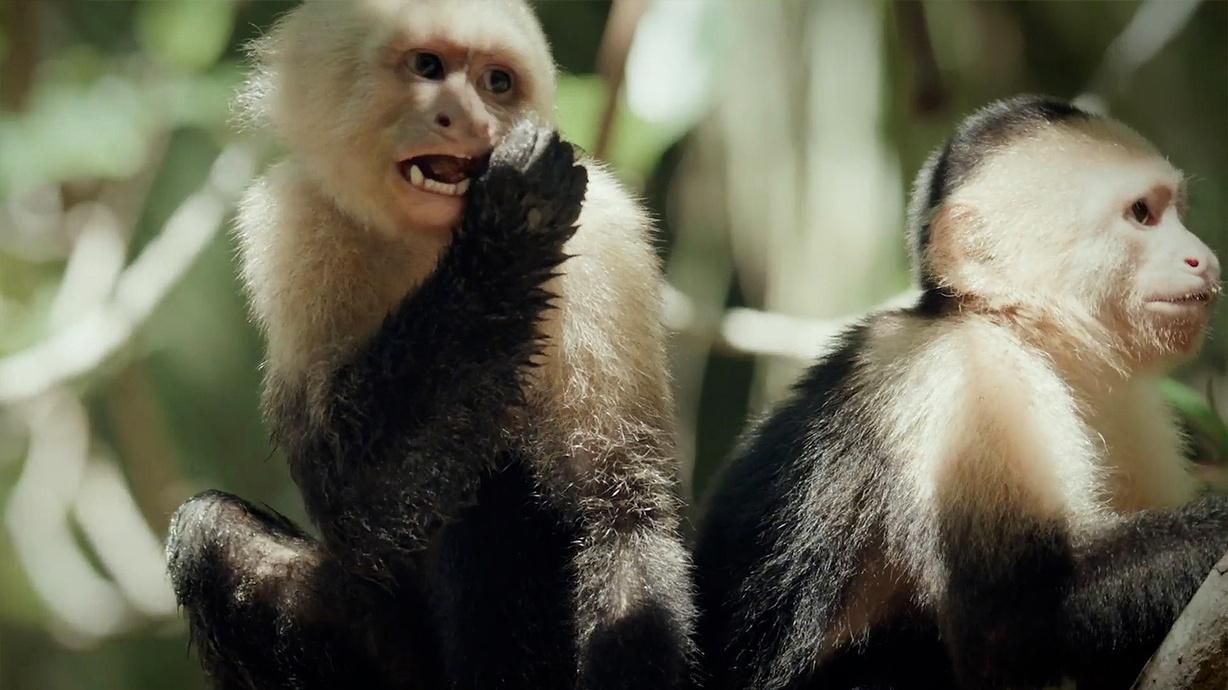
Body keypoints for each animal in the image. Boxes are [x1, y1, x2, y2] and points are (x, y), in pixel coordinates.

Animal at [163, 1, 696, 689]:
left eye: (497, 82)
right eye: (427, 66)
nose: (466, 119)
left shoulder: (609, 238)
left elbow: (624, 514)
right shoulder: (292, 229)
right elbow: (350, 497)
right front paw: (510, 231)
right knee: (213, 535)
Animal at [693, 95, 1228, 690]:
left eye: (1176, 210)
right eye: (1141, 213)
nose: (1203, 258)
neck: (1026, 331)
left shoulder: (1135, 406)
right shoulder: (969, 383)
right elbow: (1014, 619)